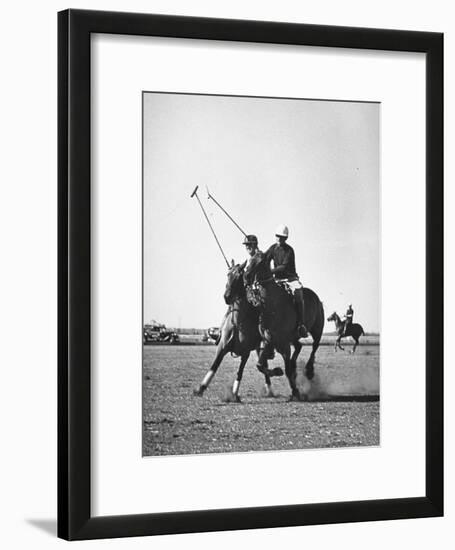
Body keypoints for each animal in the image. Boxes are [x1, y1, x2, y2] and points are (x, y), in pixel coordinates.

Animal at [193, 264, 284, 402]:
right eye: (228, 275)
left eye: (238, 277)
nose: (227, 296)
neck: (238, 323)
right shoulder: (222, 348)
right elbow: (214, 366)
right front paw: (200, 388)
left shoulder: (246, 352)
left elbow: (240, 372)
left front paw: (234, 394)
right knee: (262, 365)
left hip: (260, 346)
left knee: (263, 365)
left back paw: (270, 387)